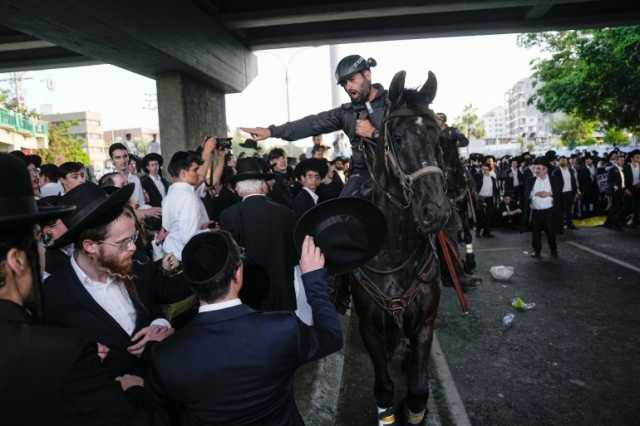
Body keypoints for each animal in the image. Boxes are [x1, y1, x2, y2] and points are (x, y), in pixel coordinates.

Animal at [350, 70, 450, 426]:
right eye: (396, 135)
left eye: (438, 135)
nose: (436, 212)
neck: (392, 248)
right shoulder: (369, 327)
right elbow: (383, 390)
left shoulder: (425, 323)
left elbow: (418, 389)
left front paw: (416, 408)